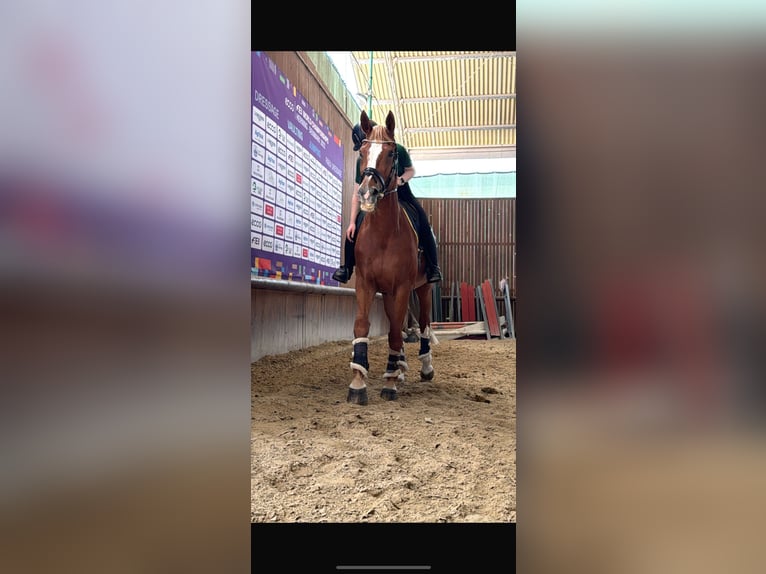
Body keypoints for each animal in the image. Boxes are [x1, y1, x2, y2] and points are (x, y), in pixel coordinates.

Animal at [347, 110, 438, 405]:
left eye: (391, 154)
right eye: (363, 152)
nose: (367, 192)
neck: (384, 233)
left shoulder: (402, 288)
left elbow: (397, 332)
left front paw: (389, 384)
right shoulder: (366, 284)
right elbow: (362, 326)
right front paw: (358, 382)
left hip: (422, 288)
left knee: (423, 324)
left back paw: (423, 367)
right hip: (387, 293)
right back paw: (399, 369)